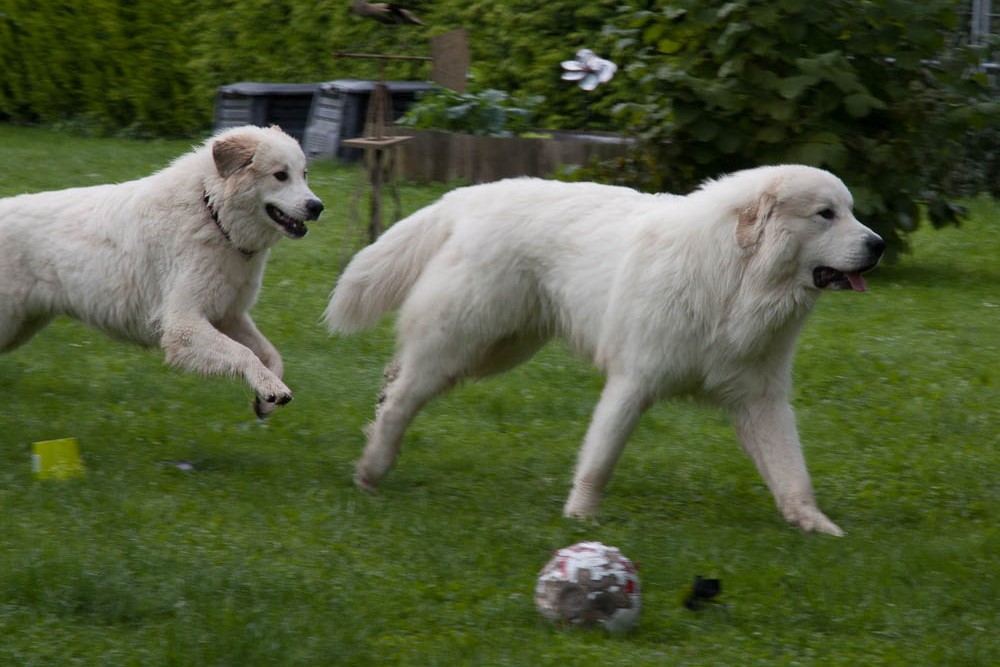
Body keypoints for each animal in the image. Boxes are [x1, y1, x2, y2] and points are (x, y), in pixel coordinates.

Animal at [0, 125, 322, 418]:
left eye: (304, 174)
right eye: (280, 175)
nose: (317, 206)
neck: (211, 211)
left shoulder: (228, 316)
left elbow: (269, 354)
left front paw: (265, 400)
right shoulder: (183, 324)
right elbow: (244, 353)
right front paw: (272, 388)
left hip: (23, 325)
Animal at [326, 167, 884, 536]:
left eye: (850, 212)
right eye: (826, 214)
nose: (878, 245)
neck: (736, 277)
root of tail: (471, 196)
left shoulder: (759, 399)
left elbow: (791, 470)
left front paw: (813, 523)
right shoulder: (633, 383)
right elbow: (600, 458)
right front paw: (581, 517)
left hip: (498, 348)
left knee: (400, 376)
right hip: (464, 340)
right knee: (404, 399)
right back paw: (372, 468)